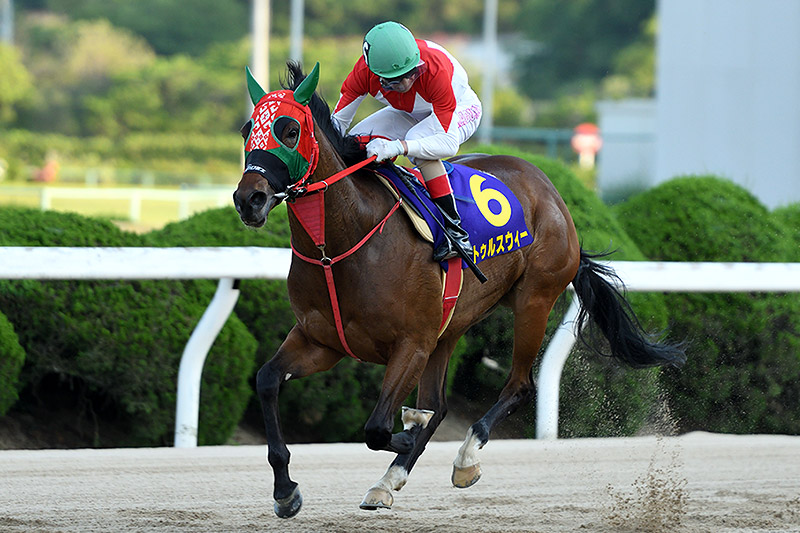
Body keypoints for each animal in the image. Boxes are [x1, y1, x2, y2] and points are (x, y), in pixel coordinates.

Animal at [233, 62, 685, 518]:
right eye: (247, 129)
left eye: (290, 130)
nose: (248, 199)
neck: (339, 247)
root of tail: (549, 188)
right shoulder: (321, 341)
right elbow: (267, 380)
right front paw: (285, 490)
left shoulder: (410, 344)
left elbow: (378, 427)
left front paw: (406, 433)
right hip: (450, 326)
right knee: (440, 404)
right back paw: (388, 480)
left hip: (534, 300)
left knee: (519, 385)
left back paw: (464, 457)